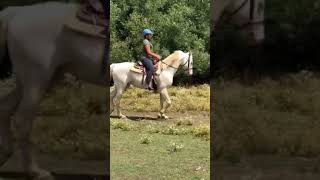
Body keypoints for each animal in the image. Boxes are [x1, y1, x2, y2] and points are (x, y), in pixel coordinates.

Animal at [0, 1, 109, 180]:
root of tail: (15, 12)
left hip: (39, 79)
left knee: (5, 108)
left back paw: (6, 154)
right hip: (36, 79)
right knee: (22, 120)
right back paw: (35, 171)